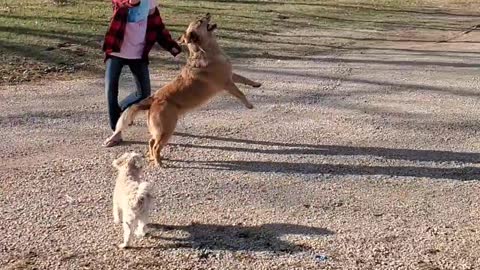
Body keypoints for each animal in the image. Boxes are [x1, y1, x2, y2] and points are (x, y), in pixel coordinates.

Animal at [105, 13, 260, 166]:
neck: (205, 51)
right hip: (167, 129)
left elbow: (244, 78)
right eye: (200, 21)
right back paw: (159, 162)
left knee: (151, 142)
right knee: (156, 146)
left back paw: (153, 158)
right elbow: (240, 93)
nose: (208, 13)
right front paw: (249, 105)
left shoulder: (231, 75)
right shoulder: (227, 83)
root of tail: (154, 99)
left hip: (160, 130)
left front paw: (256, 83)